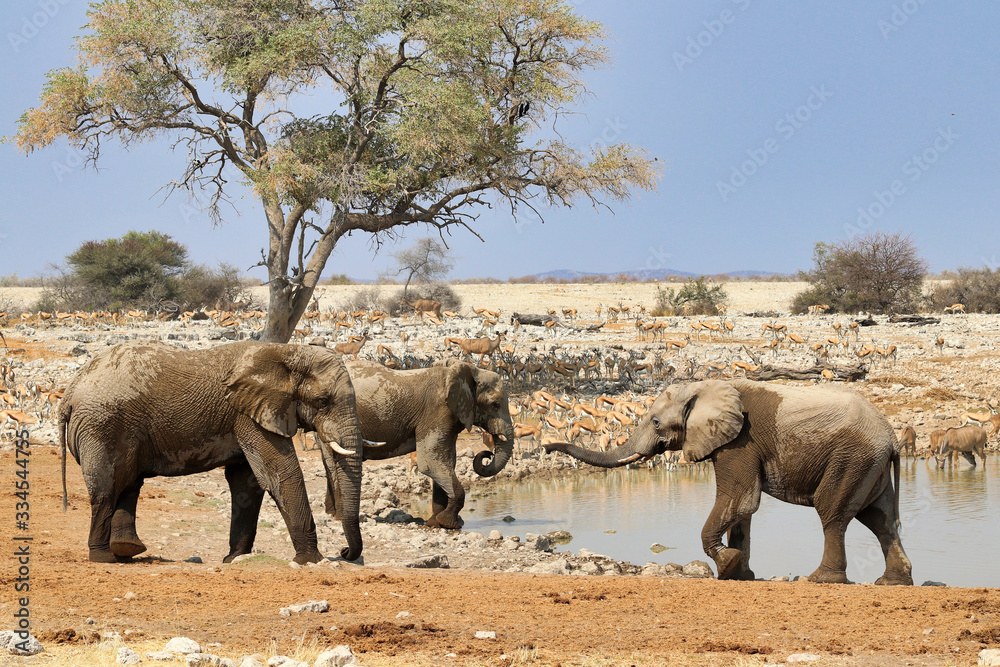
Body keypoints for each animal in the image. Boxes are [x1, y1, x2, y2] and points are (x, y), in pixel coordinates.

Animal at [59, 341, 364, 565]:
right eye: (323, 401)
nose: (344, 552)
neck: (287, 352)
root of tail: (69, 392)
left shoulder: (245, 415)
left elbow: (247, 484)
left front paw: (234, 559)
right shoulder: (249, 415)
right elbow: (280, 473)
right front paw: (312, 561)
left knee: (129, 484)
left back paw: (126, 552)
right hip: (102, 426)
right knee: (107, 488)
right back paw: (104, 558)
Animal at [325, 358, 515, 529]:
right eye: (495, 404)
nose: (487, 454)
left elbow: (446, 462)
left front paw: (436, 523)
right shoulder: (436, 412)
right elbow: (431, 463)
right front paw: (450, 523)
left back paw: (332, 514)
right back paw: (340, 516)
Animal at [544, 379, 913, 585]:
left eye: (656, 421)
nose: (547, 447)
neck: (703, 387)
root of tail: (891, 438)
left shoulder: (740, 441)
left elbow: (741, 499)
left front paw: (727, 565)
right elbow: (743, 510)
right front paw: (740, 574)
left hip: (851, 458)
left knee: (833, 514)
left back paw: (821, 580)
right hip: (869, 465)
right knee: (880, 520)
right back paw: (891, 583)